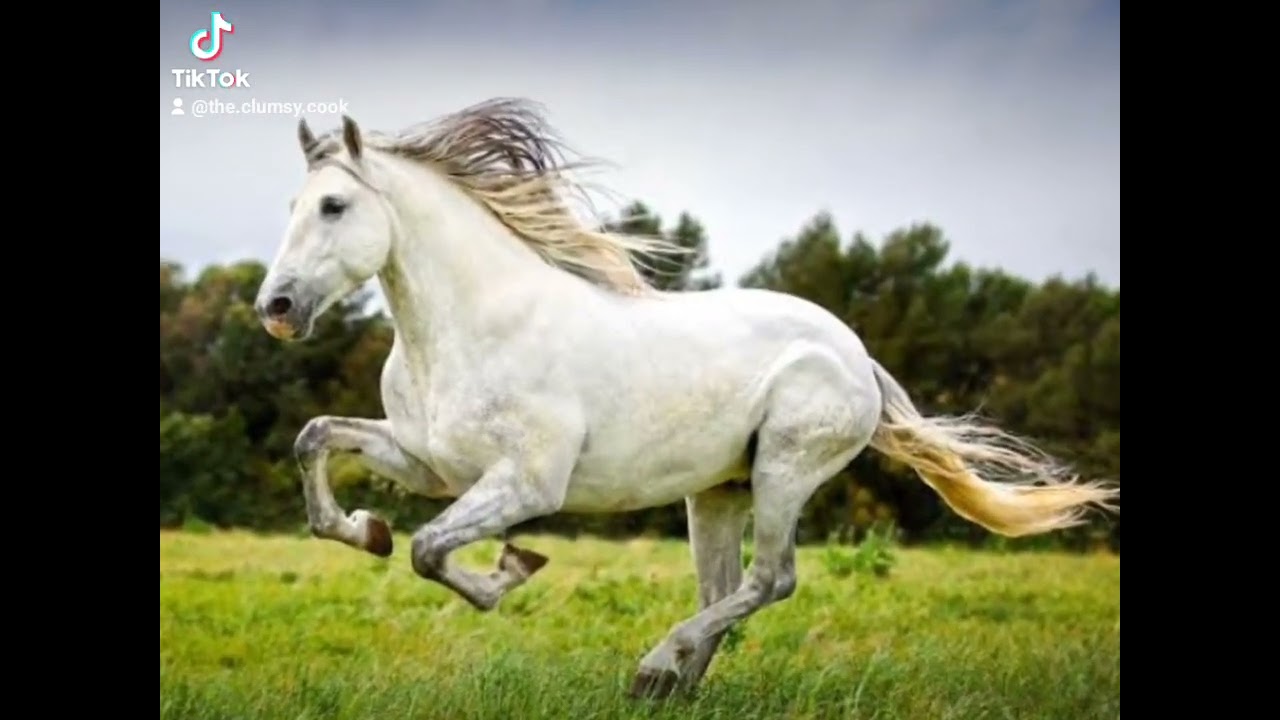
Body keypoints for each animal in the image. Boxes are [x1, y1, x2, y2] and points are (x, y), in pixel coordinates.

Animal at [253, 97, 1119, 699]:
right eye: (291, 207)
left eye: (334, 206)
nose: (277, 308)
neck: (472, 325)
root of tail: (857, 355)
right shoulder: (429, 463)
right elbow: (316, 442)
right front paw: (365, 529)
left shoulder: (527, 483)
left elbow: (432, 550)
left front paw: (513, 567)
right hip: (718, 490)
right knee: (725, 589)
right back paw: (671, 684)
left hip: (784, 471)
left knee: (770, 582)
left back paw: (655, 666)